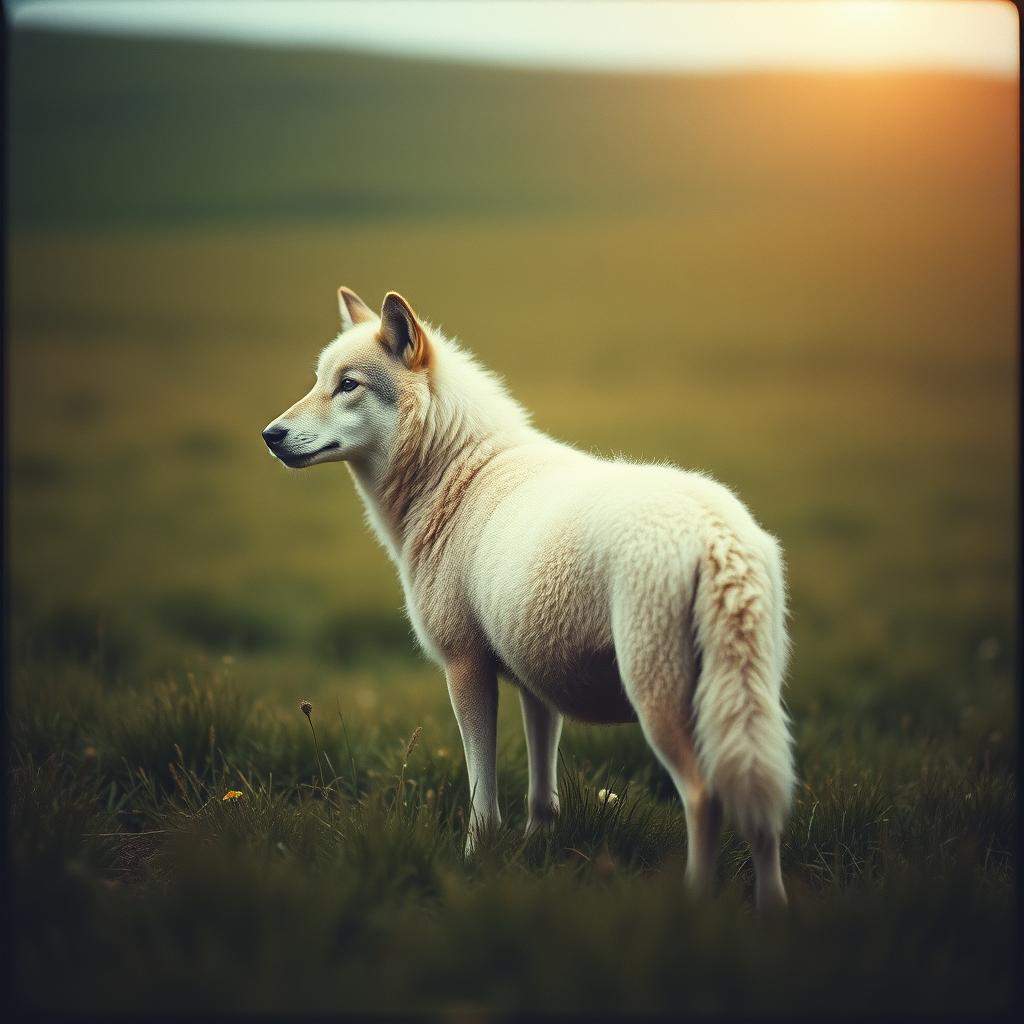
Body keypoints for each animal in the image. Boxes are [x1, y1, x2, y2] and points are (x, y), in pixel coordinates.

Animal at [263, 287, 796, 909]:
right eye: (319, 380)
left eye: (348, 384)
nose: (270, 435)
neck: (456, 474)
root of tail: (717, 536)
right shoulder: (537, 685)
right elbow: (543, 792)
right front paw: (536, 852)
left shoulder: (466, 669)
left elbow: (482, 792)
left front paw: (476, 859)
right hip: (747, 702)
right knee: (763, 809)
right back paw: (771, 910)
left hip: (660, 700)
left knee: (705, 797)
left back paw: (690, 903)